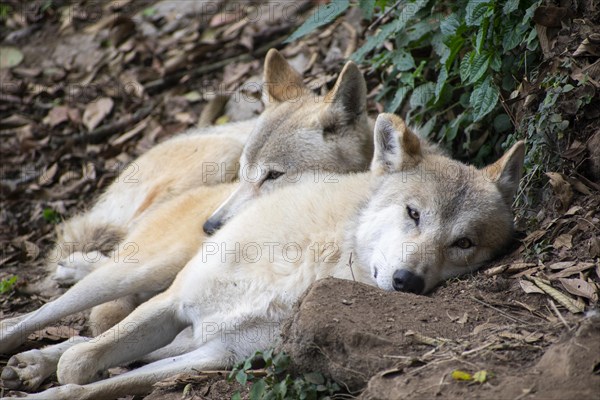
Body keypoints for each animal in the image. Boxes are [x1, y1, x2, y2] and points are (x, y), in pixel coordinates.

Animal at [0, 114, 524, 398]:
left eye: (463, 244)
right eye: (413, 213)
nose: (408, 282)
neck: (307, 267)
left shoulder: (215, 355)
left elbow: (88, 380)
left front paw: (52, 383)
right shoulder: (173, 306)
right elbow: (80, 364)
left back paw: (33, 364)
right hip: (137, 274)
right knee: (41, 317)